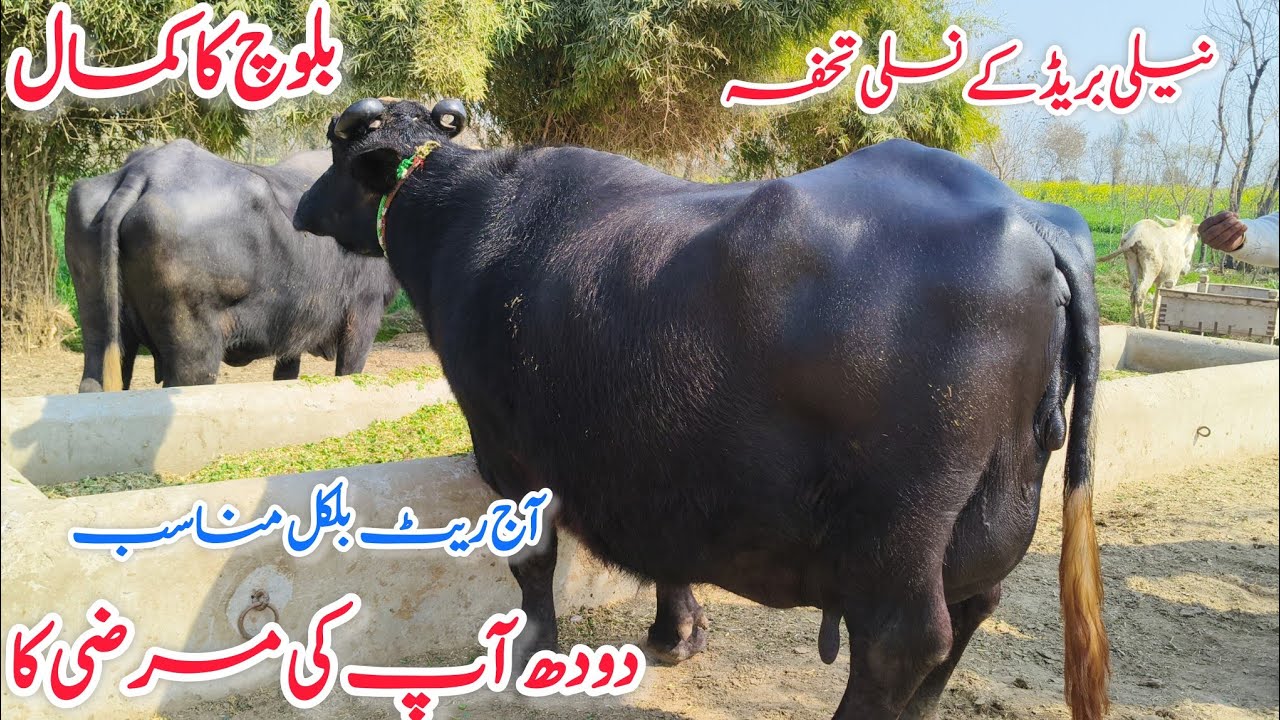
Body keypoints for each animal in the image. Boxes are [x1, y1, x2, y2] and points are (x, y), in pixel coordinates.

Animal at [65, 140, 398, 391]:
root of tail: (144, 172)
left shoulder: (294, 328)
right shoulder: (365, 312)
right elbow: (349, 372)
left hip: (100, 326)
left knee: (95, 382)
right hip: (194, 347)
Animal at [295, 98, 1110, 720]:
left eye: (337, 149)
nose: (303, 206)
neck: (459, 220)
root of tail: (1030, 221)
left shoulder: (508, 453)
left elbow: (532, 559)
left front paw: (531, 651)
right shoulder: (662, 463)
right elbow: (668, 550)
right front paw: (676, 634)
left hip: (899, 527)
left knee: (901, 640)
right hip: (999, 500)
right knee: (976, 604)